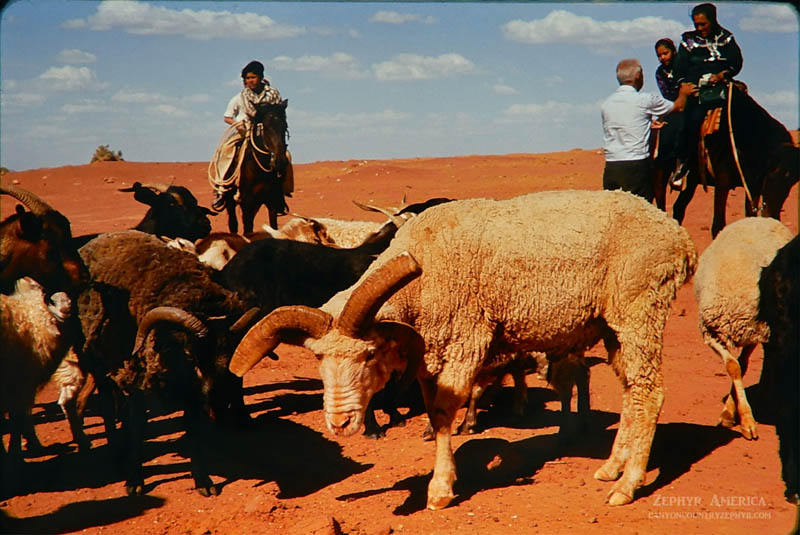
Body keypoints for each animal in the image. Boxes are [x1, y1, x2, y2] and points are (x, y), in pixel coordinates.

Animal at [76, 230, 260, 496]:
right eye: (191, 355)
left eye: (233, 355)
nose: (219, 405)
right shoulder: (137, 379)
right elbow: (138, 426)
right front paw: (134, 479)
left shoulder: (191, 391)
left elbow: (193, 430)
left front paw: (203, 481)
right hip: (95, 361)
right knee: (108, 408)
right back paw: (116, 455)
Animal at [230, 189, 697, 509]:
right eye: (317, 358)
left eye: (369, 355)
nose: (340, 423)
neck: (421, 279)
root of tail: (678, 236)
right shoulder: (425, 352)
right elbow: (432, 411)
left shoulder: (465, 341)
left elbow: (442, 414)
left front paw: (439, 489)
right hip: (613, 324)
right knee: (631, 390)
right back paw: (611, 468)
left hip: (640, 309)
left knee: (650, 393)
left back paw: (627, 484)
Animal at [693, 217, 793, 440]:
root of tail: (762, 217)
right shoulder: (712, 333)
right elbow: (735, 367)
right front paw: (734, 415)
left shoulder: (754, 333)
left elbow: (741, 365)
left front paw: (744, 417)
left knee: (770, 358)